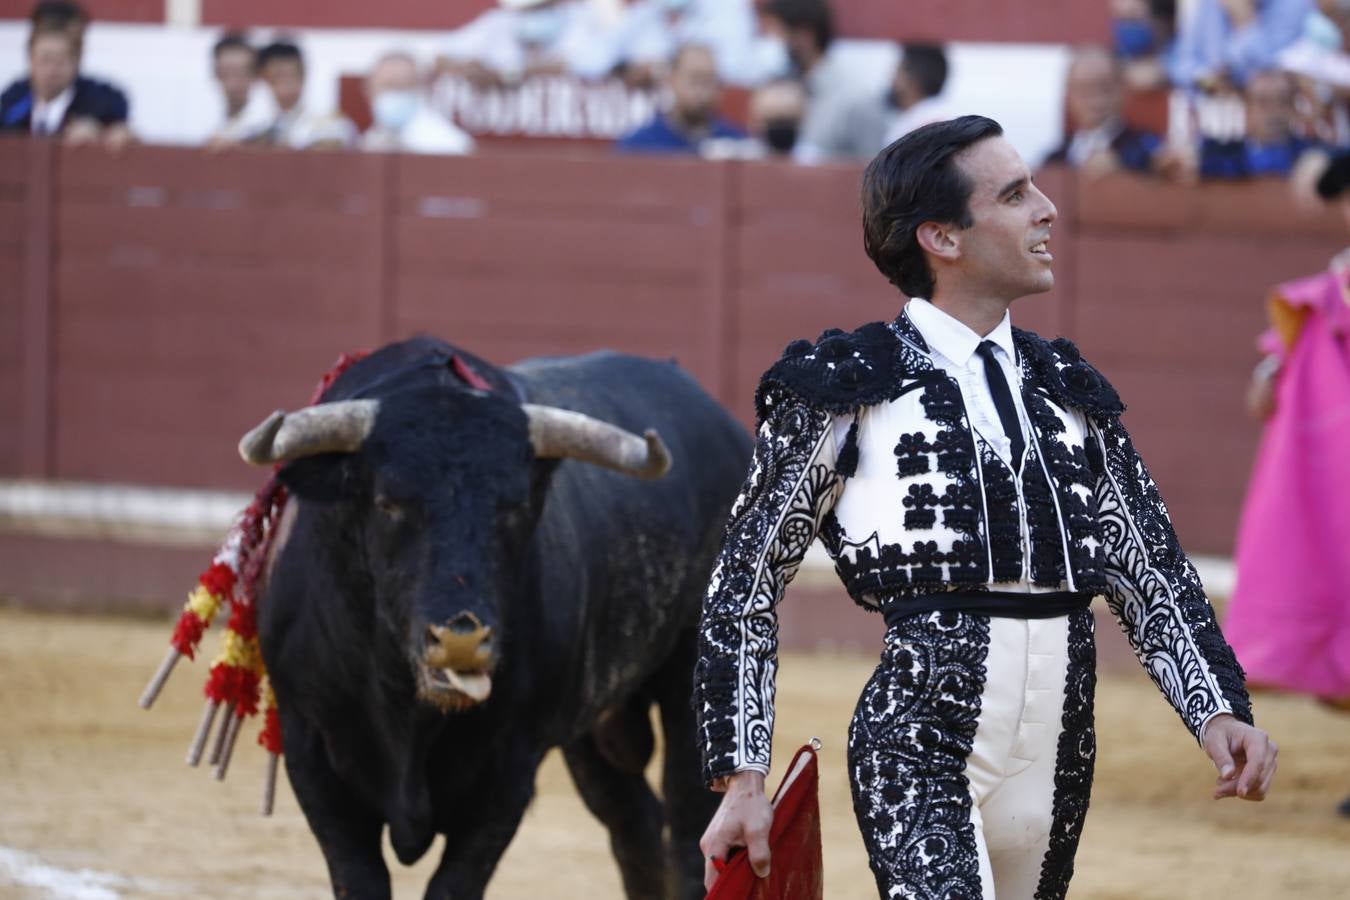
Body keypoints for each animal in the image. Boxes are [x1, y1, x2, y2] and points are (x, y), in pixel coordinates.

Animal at [248, 340, 756, 900]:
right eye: (387, 504)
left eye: (513, 507)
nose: (460, 642)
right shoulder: (311, 755)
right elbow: (358, 878)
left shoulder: (507, 775)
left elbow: (454, 884)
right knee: (634, 820)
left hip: (688, 674)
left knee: (689, 822)